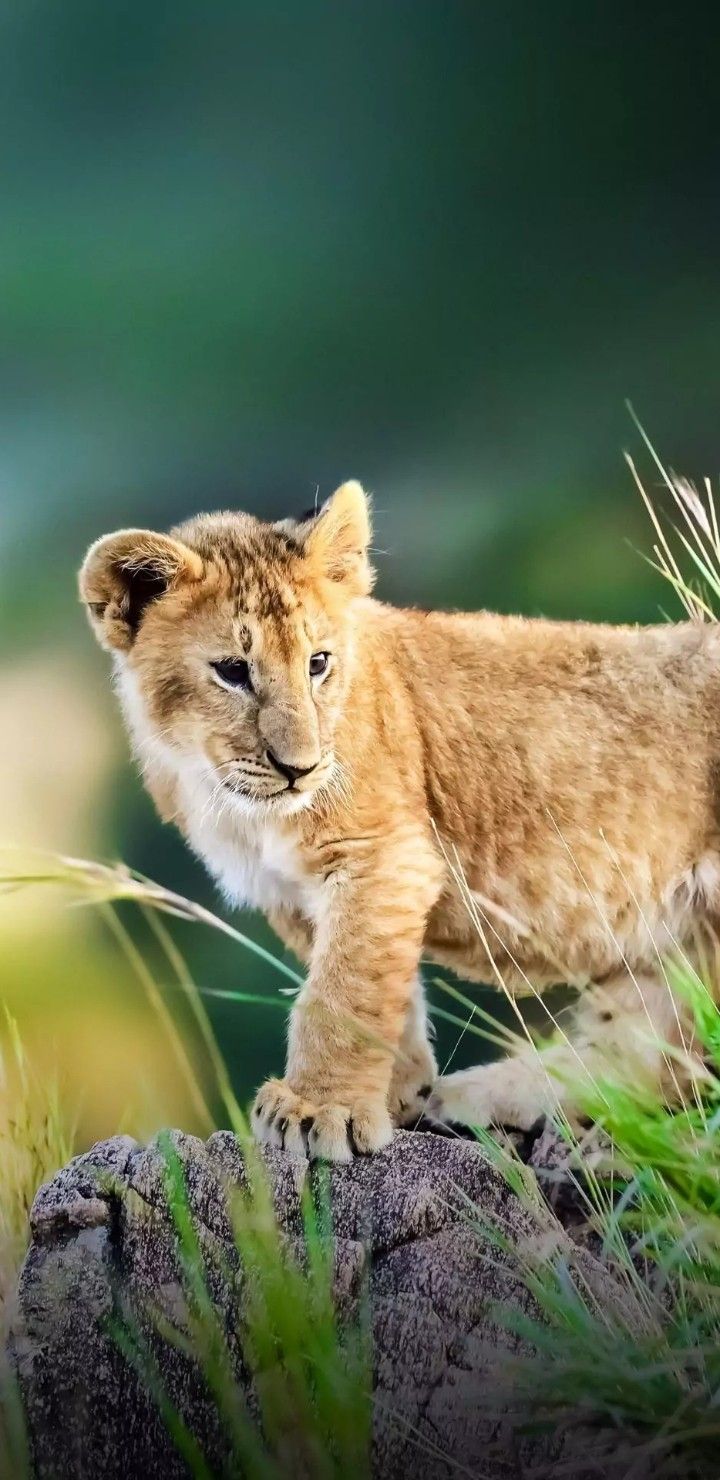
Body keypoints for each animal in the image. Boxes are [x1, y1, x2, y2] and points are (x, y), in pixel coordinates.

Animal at [79, 480, 720, 1160]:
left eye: (318, 662)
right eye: (231, 670)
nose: (299, 769)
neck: (222, 792)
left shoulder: (382, 852)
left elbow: (341, 991)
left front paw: (319, 1110)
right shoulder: (303, 892)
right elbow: (378, 988)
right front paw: (395, 1096)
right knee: (655, 1045)